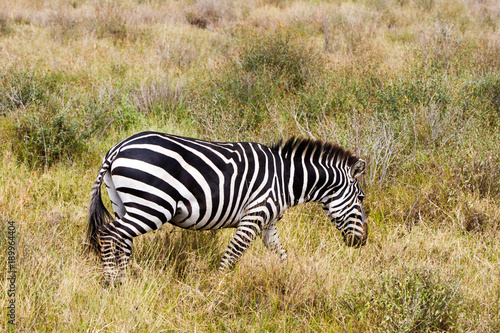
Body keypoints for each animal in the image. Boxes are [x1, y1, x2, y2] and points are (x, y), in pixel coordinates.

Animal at [87, 132, 368, 282]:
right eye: (362, 198)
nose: (362, 242)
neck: (285, 179)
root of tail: (117, 148)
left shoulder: (268, 224)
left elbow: (281, 254)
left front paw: (286, 277)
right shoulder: (254, 215)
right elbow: (233, 253)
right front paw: (219, 286)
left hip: (126, 204)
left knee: (123, 239)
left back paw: (123, 281)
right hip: (152, 206)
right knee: (109, 233)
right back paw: (110, 281)